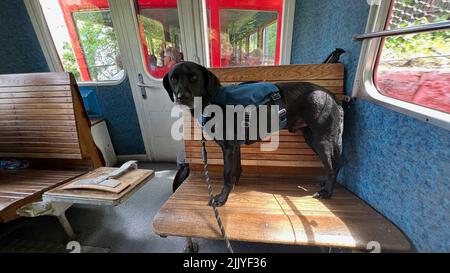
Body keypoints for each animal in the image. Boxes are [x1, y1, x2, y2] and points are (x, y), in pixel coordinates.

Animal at [163, 61, 342, 206]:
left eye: (194, 77)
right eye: (173, 78)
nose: (182, 97)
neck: (212, 100)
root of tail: (332, 96)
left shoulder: (228, 148)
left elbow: (226, 174)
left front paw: (222, 198)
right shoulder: (235, 147)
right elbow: (236, 169)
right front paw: (233, 187)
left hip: (321, 140)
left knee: (333, 166)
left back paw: (328, 192)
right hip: (311, 137)